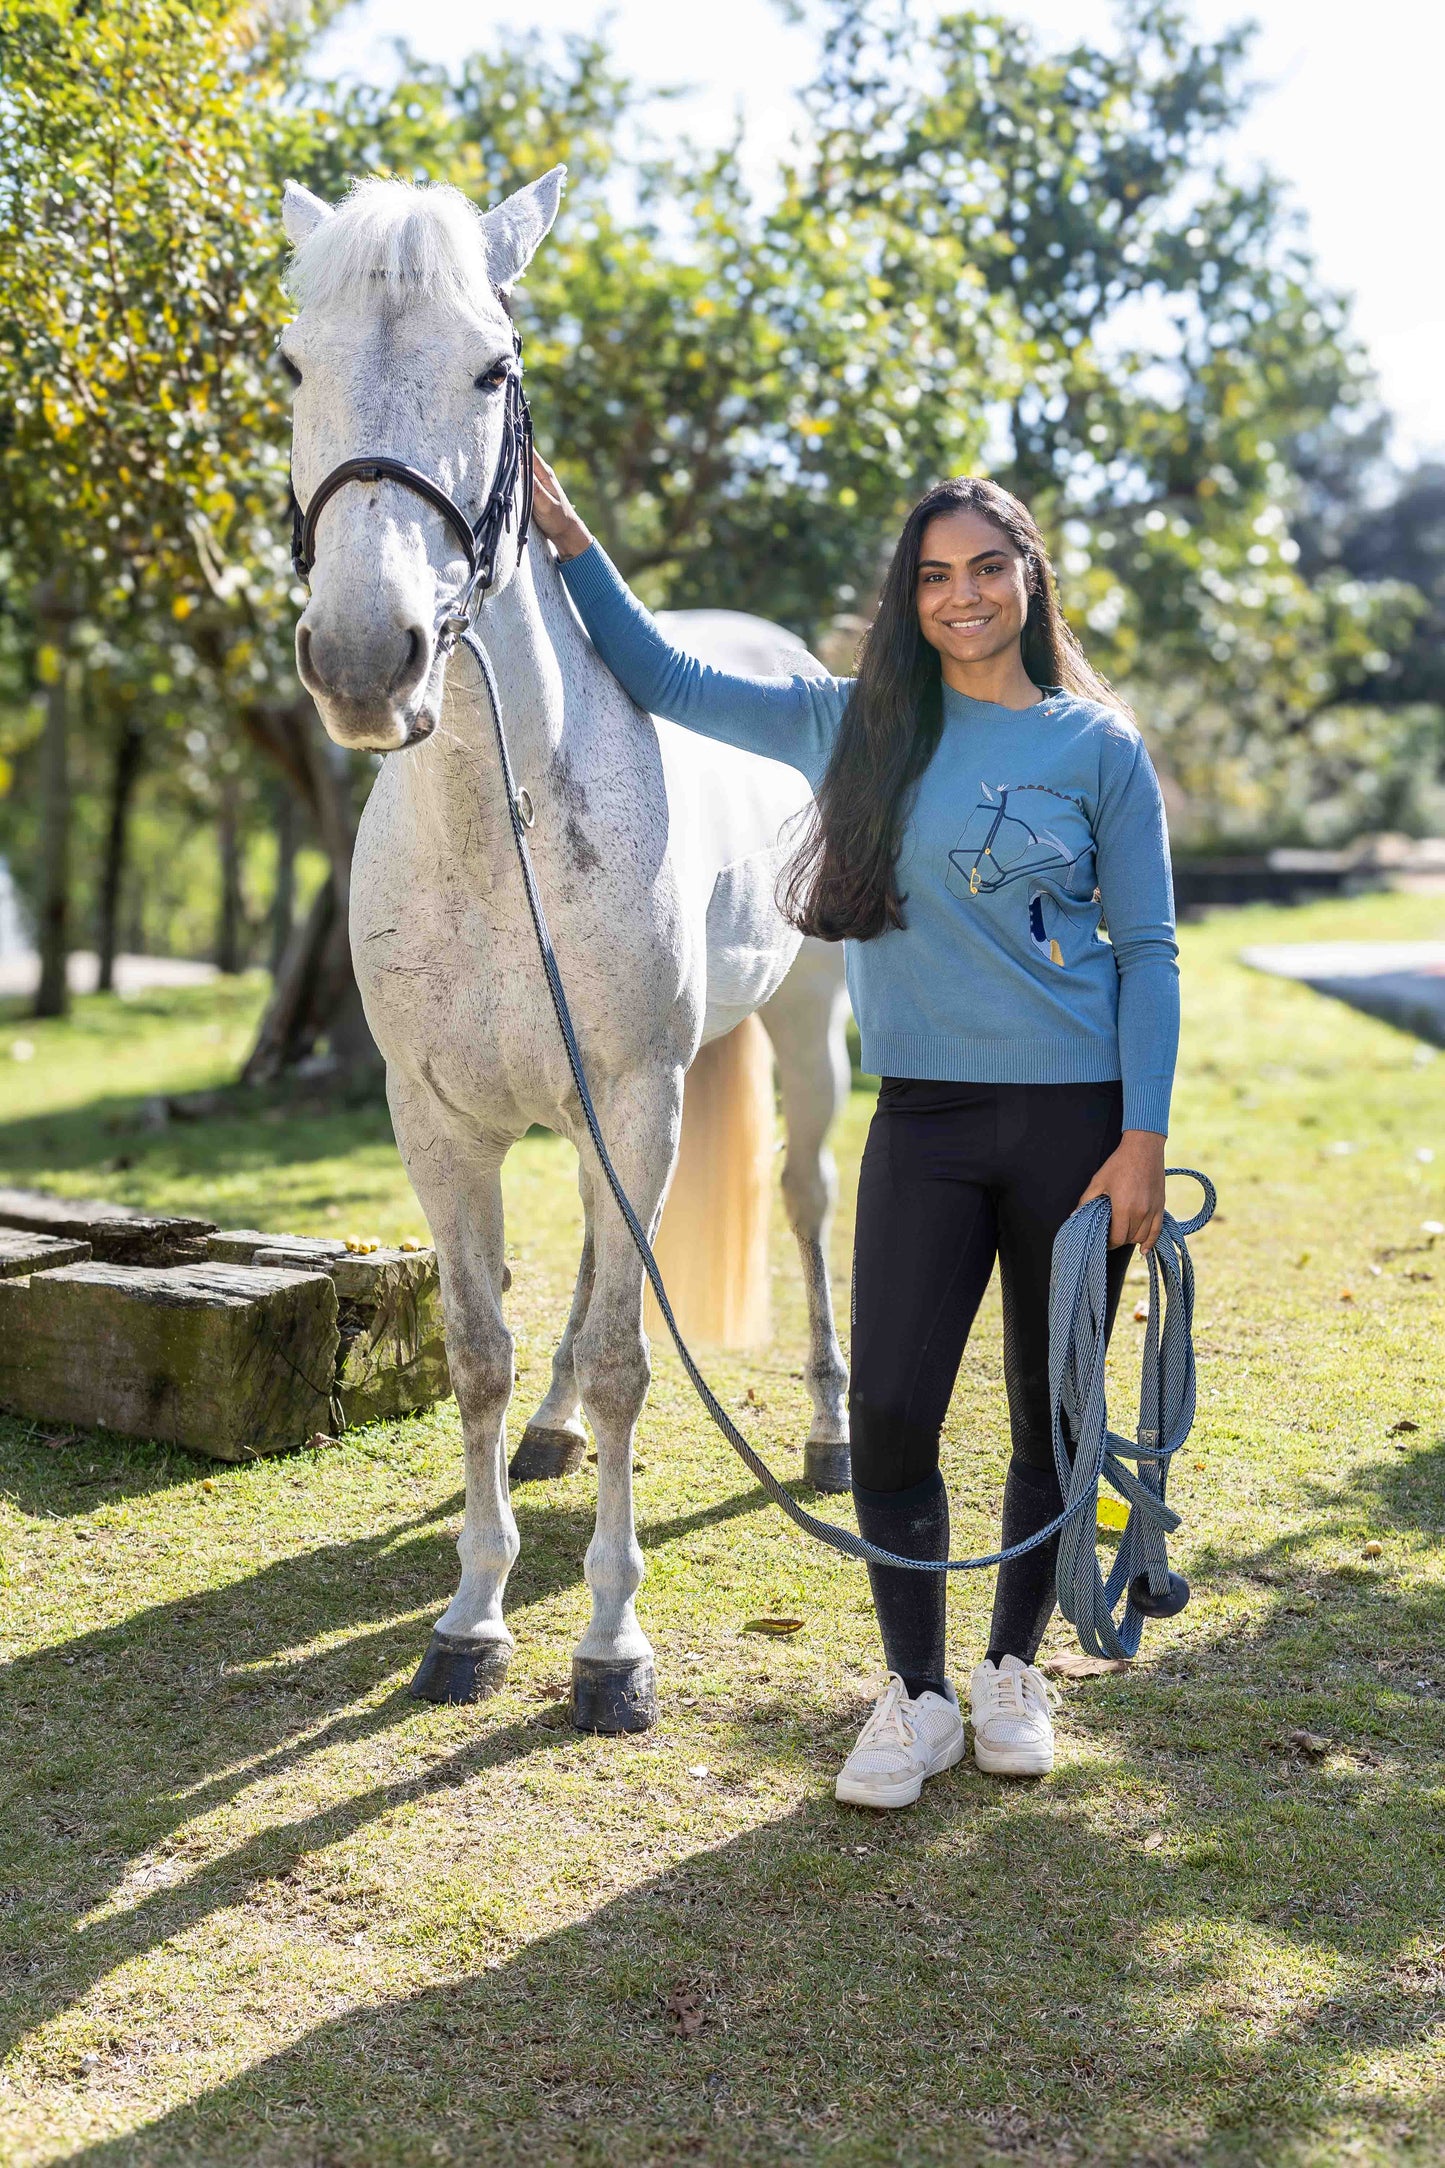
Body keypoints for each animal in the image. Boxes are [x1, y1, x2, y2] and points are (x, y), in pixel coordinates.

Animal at [279, 165, 851, 1731]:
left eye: (494, 369)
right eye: (291, 367)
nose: (367, 661)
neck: (501, 832)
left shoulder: (638, 1108)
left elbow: (623, 1361)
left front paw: (610, 1644)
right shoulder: (441, 1127)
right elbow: (483, 1349)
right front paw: (472, 1615)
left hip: (801, 1040)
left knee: (806, 1202)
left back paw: (834, 1433)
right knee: (597, 1275)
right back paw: (545, 1444)